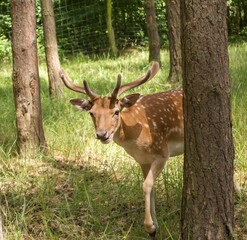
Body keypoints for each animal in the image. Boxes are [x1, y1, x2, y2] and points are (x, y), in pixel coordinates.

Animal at [59, 62, 183, 238]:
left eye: (116, 111)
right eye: (91, 113)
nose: (102, 134)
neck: (135, 139)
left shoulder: (162, 152)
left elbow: (146, 185)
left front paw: (149, 227)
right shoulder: (143, 160)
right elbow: (151, 187)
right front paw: (155, 226)